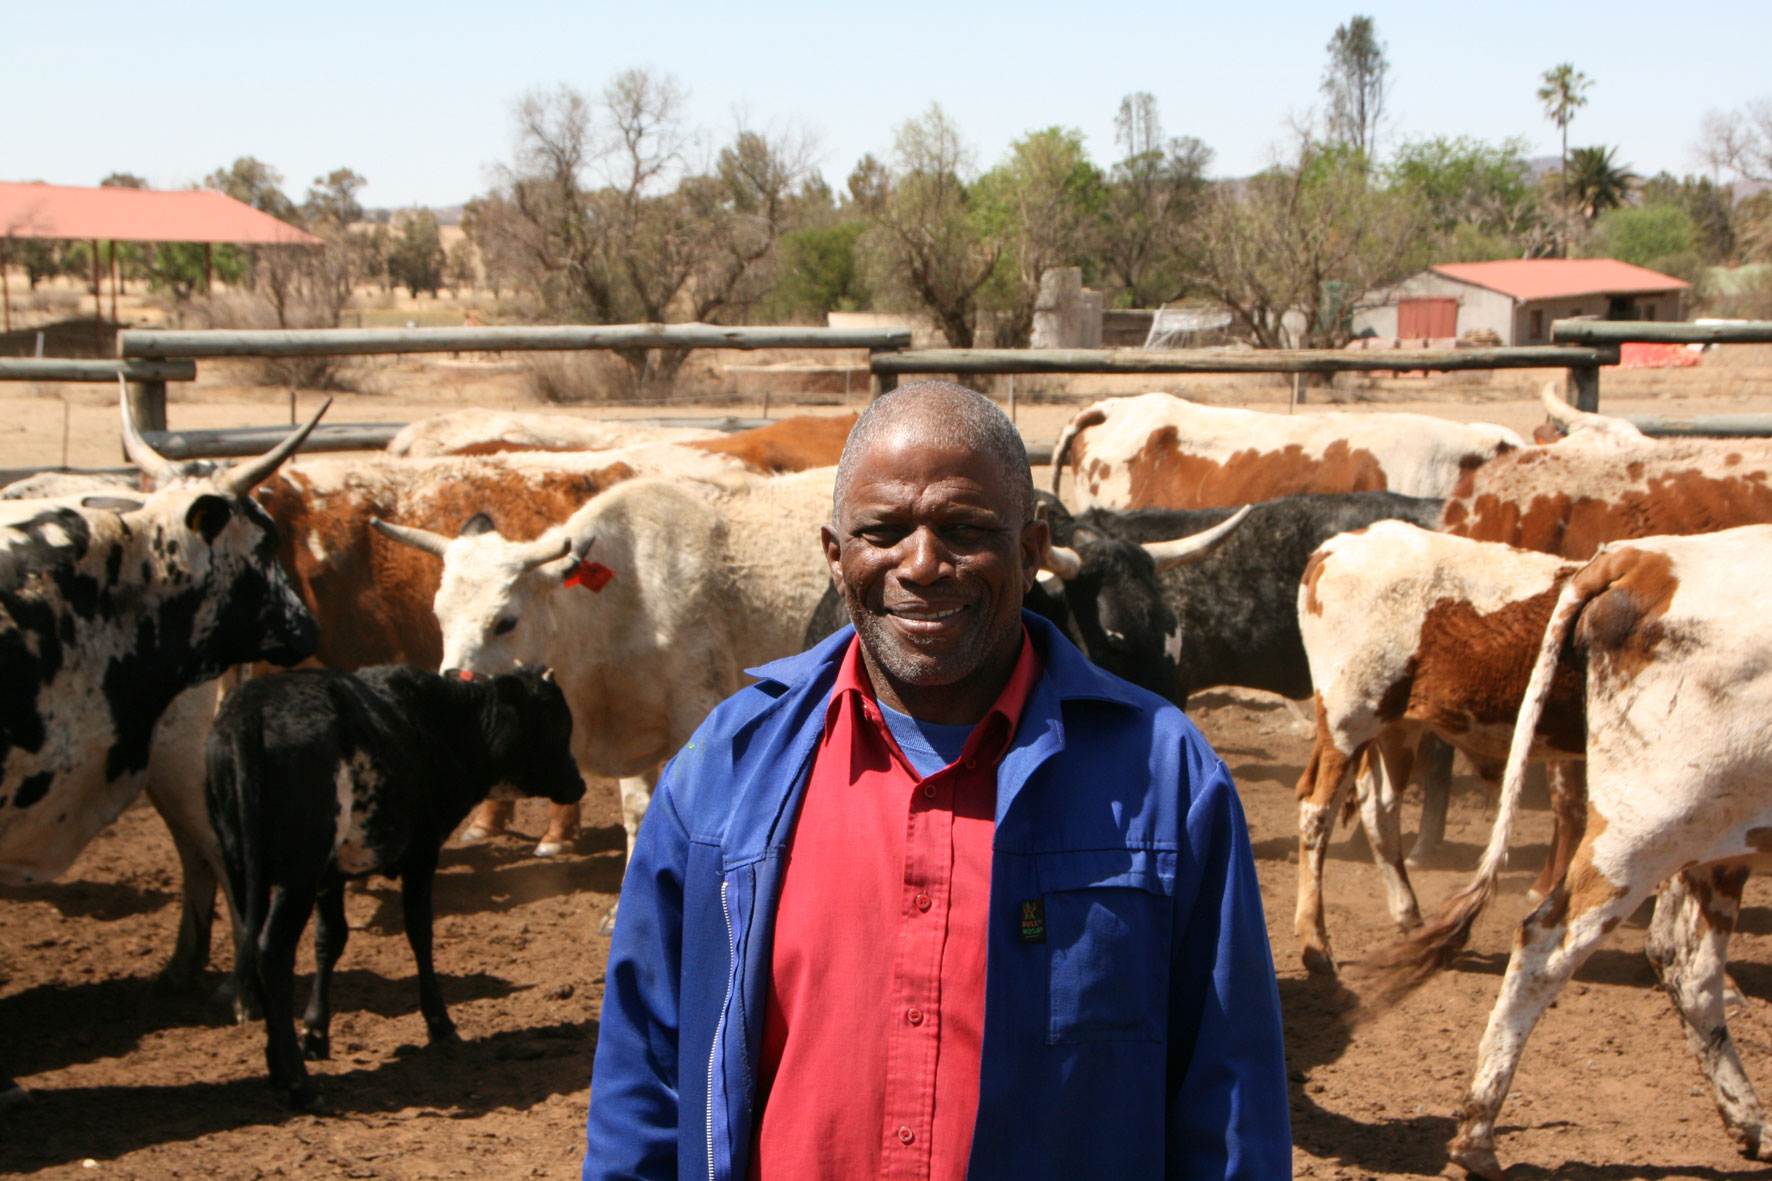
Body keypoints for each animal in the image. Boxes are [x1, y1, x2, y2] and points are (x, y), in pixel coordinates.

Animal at [206, 664, 585, 1108]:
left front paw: (315, 1032)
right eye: (558, 727)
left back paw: (277, 1064)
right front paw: (439, 1023)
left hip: (241, 863)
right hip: (296, 874)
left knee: (254, 944)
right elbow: (420, 931)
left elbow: (329, 941)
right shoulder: (421, 853)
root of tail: (253, 710)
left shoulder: (330, 877)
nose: (579, 784)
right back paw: (297, 1082)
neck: (440, 722)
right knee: (272, 951)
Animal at [372, 467, 836, 930]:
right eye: (440, 614)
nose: (452, 690)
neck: (627, 599)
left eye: (505, 621)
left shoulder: (698, 713)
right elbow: (637, 812)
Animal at [1290, 522, 1590, 976]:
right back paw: (1315, 944)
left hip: (1397, 726)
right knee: (1317, 814)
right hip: (1349, 718)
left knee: (1379, 808)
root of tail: (1337, 545)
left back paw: (1409, 916)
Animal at [1361, 525, 1772, 1179]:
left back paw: (1750, 1120)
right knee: (1547, 943)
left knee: (1688, 965)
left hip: (1716, 841)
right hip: (1647, 828)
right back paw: (1476, 1137)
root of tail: (1642, 558)